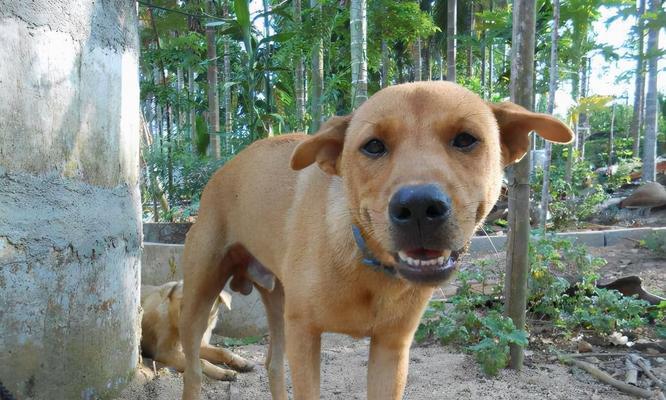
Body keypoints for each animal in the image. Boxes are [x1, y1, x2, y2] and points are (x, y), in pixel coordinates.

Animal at [178, 82, 572, 400]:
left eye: (465, 139)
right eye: (373, 146)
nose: (418, 207)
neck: (367, 262)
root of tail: (221, 171)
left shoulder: (391, 348)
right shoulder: (305, 334)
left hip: (278, 301)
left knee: (273, 364)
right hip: (199, 298)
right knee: (193, 369)